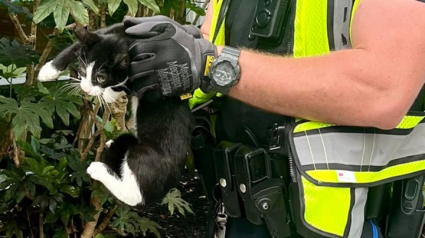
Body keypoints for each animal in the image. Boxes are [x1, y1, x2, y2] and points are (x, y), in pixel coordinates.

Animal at [38, 23, 194, 207]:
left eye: (101, 78)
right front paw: (48, 70)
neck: (127, 40)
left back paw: (98, 170)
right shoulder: (113, 30)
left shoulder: (145, 73)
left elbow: (124, 83)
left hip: (147, 155)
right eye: (83, 70)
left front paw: (108, 94)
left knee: (135, 194)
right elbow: (76, 45)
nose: (85, 89)